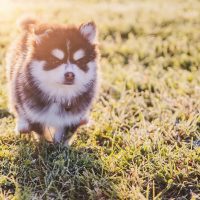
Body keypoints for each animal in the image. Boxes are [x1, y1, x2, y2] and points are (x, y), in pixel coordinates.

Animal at [6, 17, 99, 145]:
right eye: (55, 61)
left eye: (79, 62)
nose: (70, 75)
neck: (59, 94)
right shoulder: (33, 112)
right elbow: (40, 130)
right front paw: (44, 144)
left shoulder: (71, 118)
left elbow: (64, 134)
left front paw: (60, 146)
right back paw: (22, 125)